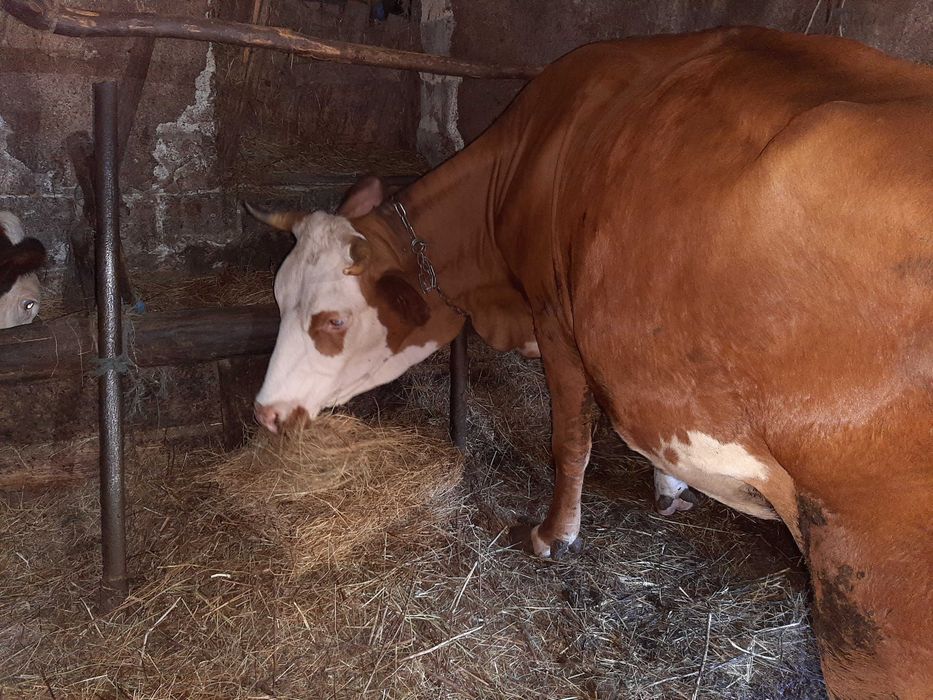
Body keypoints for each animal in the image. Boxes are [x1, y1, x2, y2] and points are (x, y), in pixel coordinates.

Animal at [247, 27, 932, 699]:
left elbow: (570, 440)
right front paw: (670, 488)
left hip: (872, 592)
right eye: (278, 296)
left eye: (332, 321)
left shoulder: (556, 320)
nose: (266, 412)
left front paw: (555, 534)